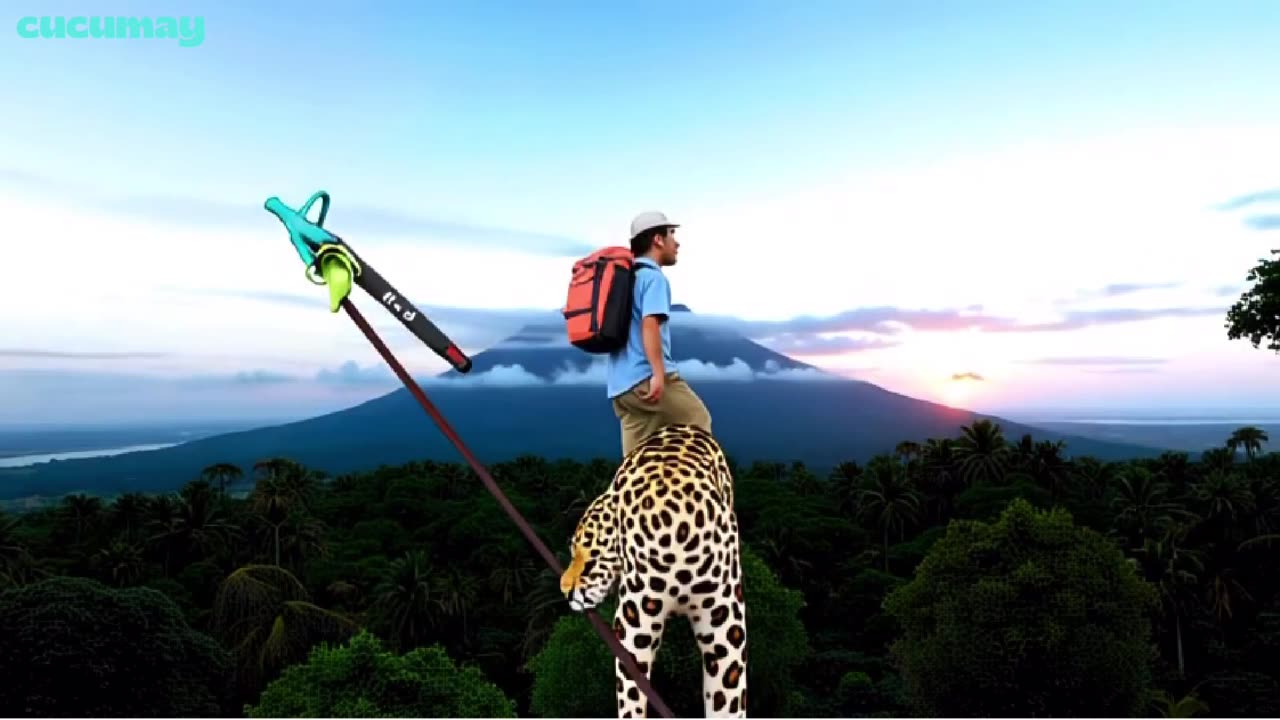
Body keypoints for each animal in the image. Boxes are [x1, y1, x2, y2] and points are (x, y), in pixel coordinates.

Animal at [559, 423, 748, 719]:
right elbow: (631, 695)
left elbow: (728, 699)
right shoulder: (635, 632)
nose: (564, 589)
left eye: (588, 557)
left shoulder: (725, 626)